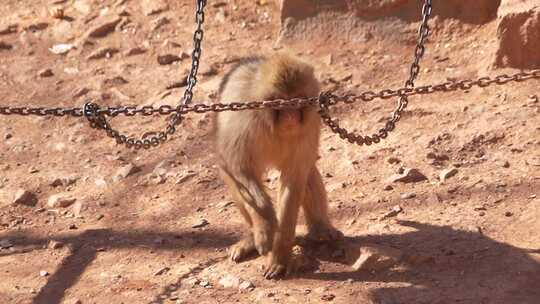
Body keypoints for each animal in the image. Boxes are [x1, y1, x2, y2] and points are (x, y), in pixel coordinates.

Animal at [214, 51, 344, 280]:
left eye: (297, 100)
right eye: (280, 102)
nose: (290, 115)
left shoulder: (310, 121)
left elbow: (294, 179)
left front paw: (280, 256)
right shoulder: (240, 123)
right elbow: (239, 168)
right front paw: (266, 225)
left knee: (308, 171)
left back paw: (320, 230)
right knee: (230, 174)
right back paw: (253, 235)